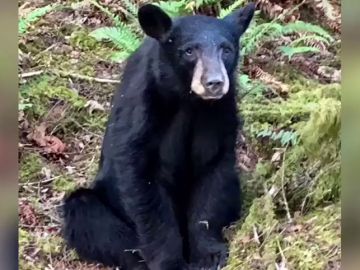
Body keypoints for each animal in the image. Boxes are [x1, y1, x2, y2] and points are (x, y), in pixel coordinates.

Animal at [63, 2, 256, 270]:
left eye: (226, 50)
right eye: (189, 51)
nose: (214, 83)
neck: (189, 101)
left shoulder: (219, 114)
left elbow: (213, 175)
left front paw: (209, 253)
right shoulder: (143, 111)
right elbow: (142, 184)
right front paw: (170, 261)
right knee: (86, 213)